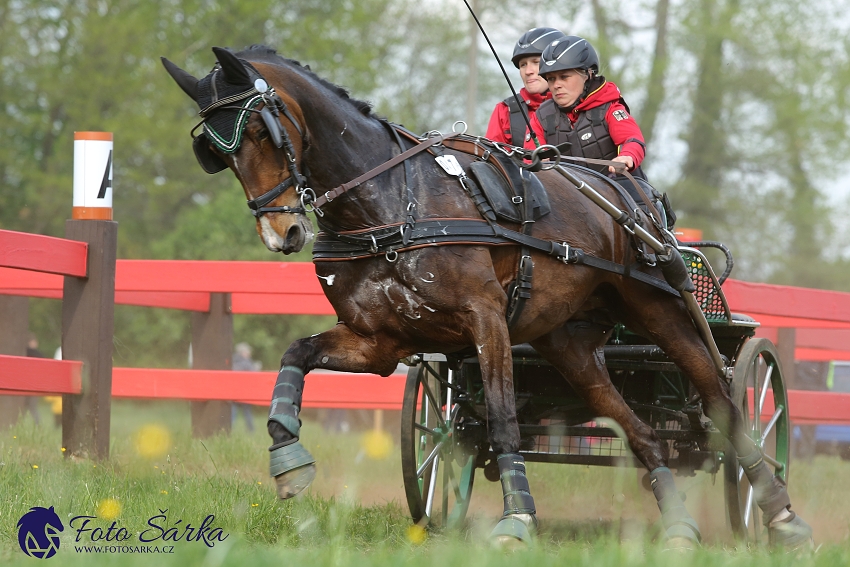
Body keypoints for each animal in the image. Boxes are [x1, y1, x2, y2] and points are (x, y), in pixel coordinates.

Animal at [164, 45, 808, 552]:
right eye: (218, 152)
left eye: (260, 131)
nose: (284, 232)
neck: (394, 203)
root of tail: (627, 193)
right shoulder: (380, 342)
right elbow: (295, 355)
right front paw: (287, 457)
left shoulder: (487, 320)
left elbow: (501, 416)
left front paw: (518, 518)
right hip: (569, 346)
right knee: (641, 431)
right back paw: (678, 525)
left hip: (661, 312)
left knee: (722, 399)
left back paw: (778, 510)